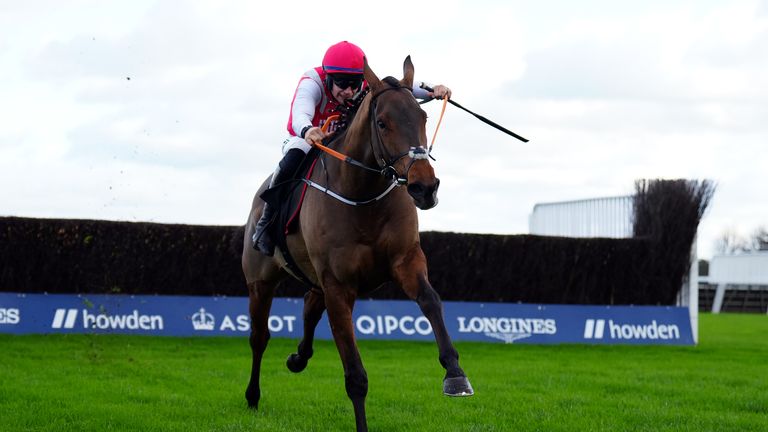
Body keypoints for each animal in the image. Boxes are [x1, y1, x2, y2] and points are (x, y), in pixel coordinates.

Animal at [242, 56, 474, 432]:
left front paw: (455, 374)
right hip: (260, 281)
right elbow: (355, 376)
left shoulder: (405, 260)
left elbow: (431, 300)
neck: (362, 196)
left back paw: (298, 358)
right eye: (382, 123)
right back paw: (252, 396)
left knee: (310, 305)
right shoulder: (339, 286)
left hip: (314, 279)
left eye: (423, 118)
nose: (425, 188)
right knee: (260, 337)